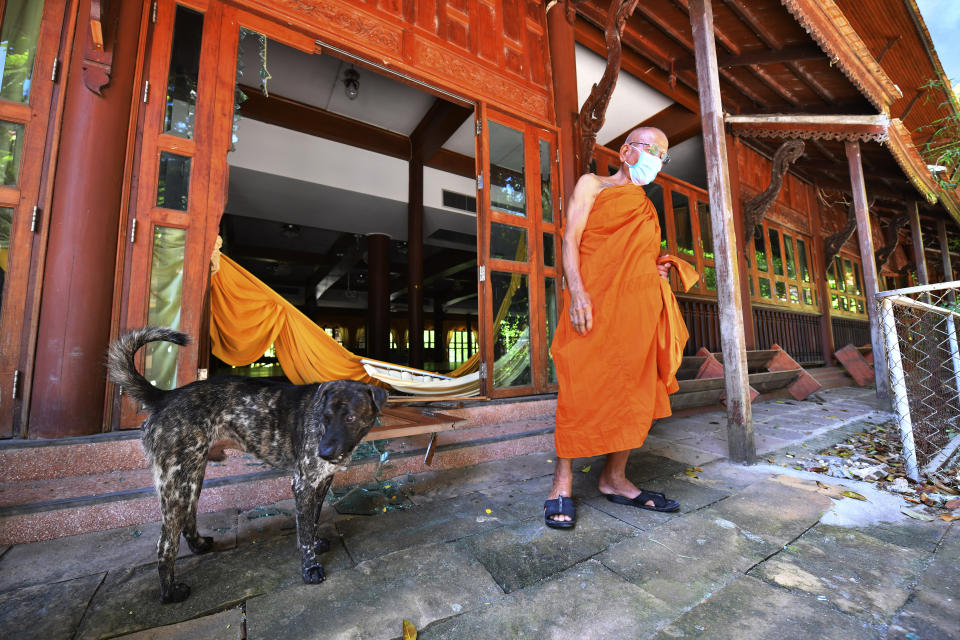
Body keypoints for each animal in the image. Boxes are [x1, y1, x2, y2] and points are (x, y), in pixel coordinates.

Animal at [108, 328, 386, 604]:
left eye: (350, 418)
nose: (324, 452)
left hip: (192, 477)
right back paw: (170, 593)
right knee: (165, 544)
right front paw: (310, 568)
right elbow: (305, 528)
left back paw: (199, 546)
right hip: (177, 483)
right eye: (324, 417)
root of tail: (165, 396)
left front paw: (314, 543)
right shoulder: (303, 483)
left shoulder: (321, 482)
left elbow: (311, 521)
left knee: (188, 517)